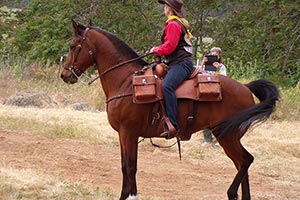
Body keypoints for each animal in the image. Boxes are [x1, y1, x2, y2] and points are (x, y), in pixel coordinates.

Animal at [59, 20, 280, 200]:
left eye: (73, 46)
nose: (64, 75)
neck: (125, 81)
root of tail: (245, 87)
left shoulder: (128, 132)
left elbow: (130, 166)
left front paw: (130, 196)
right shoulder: (123, 135)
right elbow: (125, 166)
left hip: (227, 135)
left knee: (246, 160)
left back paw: (231, 192)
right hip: (229, 136)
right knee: (242, 164)